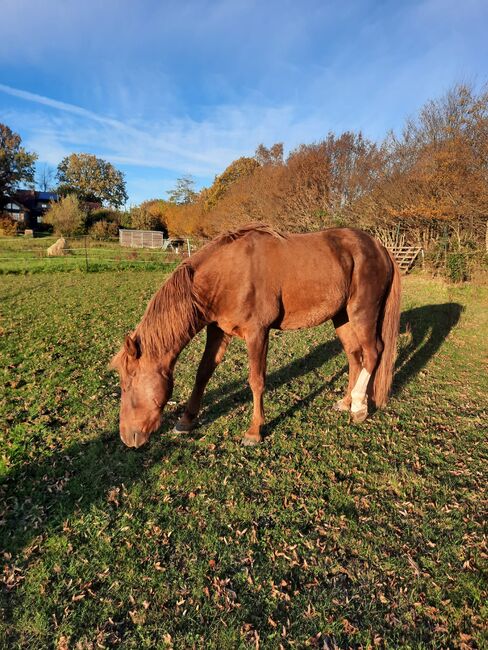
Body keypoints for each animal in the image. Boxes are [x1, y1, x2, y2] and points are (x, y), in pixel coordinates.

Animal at [111, 223, 400, 446]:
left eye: (128, 384)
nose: (128, 437)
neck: (226, 275)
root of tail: (380, 248)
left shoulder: (257, 333)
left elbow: (256, 380)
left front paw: (254, 431)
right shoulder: (217, 331)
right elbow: (203, 373)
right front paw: (185, 421)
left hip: (363, 312)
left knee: (373, 352)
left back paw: (359, 407)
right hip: (342, 316)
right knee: (354, 355)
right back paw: (346, 401)